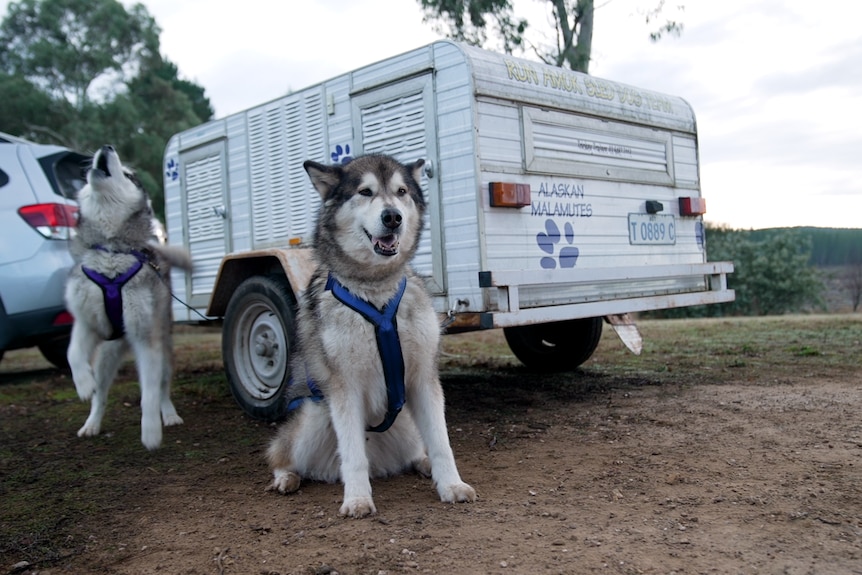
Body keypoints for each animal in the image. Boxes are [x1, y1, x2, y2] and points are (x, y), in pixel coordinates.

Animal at [64, 144, 192, 450]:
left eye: (129, 175)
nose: (106, 146)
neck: (111, 250)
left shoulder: (146, 337)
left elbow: (149, 395)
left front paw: (151, 431)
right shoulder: (87, 323)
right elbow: (72, 353)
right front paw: (83, 383)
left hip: (163, 349)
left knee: (162, 388)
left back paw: (169, 415)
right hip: (106, 357)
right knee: (101, 394)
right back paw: (92, 423)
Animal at [266, 153, 476, 516]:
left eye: (401, 191)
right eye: (365, 192)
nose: (392, 217)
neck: (375, 291)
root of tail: (379, 461)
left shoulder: (423, 379)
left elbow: (441, 442)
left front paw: (451, 485)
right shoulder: (343, 386)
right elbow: (352, 455)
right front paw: (357, 499)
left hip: (405, 422)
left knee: (415, 451)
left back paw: (423, 464)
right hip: (314, 414)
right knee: (282, 454)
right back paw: (286, 477)